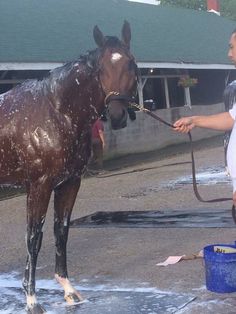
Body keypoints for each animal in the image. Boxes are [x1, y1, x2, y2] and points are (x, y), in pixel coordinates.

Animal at [0, 20, 137, 312]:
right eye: (100, 69)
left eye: (131, 64)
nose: (117, 114)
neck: (55, 112)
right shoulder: (38, 186)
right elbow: (33, 238)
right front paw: (32, 300)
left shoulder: (69, 182)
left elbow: (60, 231)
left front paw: (69, 291)